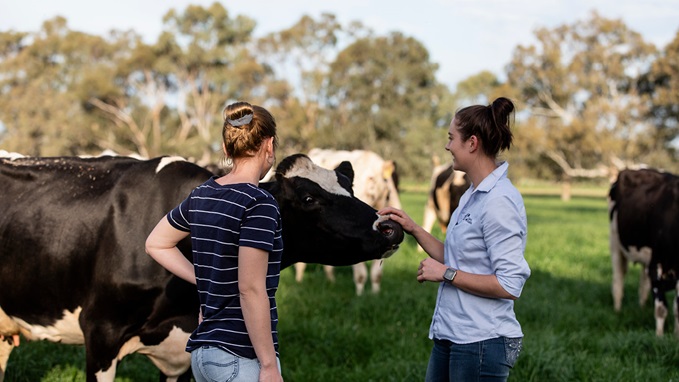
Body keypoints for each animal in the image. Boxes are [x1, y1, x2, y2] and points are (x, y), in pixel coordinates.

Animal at [294, 148, 402, 296]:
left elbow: (377, 274)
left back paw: (331, 281)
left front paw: (375, 293)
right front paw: (360, 294)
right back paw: (299, 281)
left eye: (371, 178)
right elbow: (361, 274)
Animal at [612, 168, 679, 338]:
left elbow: (677, 308)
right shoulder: (656, 265)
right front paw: (659, 337)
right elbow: (661, 309)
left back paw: (641, 309)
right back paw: (617, 310)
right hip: (615, 243)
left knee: (643, 285)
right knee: (618, 278)